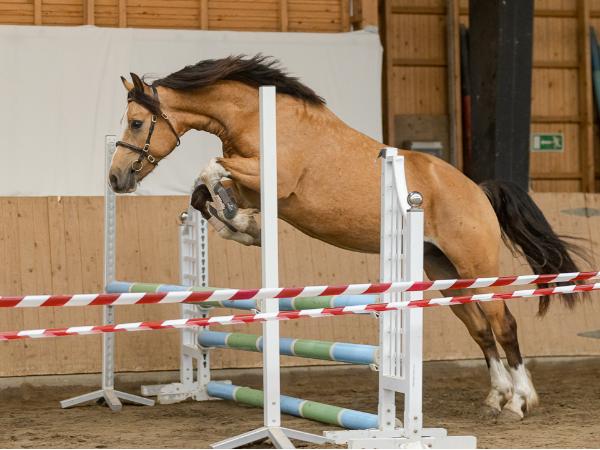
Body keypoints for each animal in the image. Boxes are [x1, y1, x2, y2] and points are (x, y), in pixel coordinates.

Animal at [109, 55, 585, 422]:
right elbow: (203, 190)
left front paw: (243, 223)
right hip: (444, 272)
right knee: (481, 330)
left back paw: (521, 402)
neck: (256, 117)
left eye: (136, 122)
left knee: (504, 325)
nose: (116, 178)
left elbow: (209, 169)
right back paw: (495, 398)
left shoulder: (271, 180)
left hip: (477, 265)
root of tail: (478, 191)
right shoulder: (255, 186)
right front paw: (242, 224)